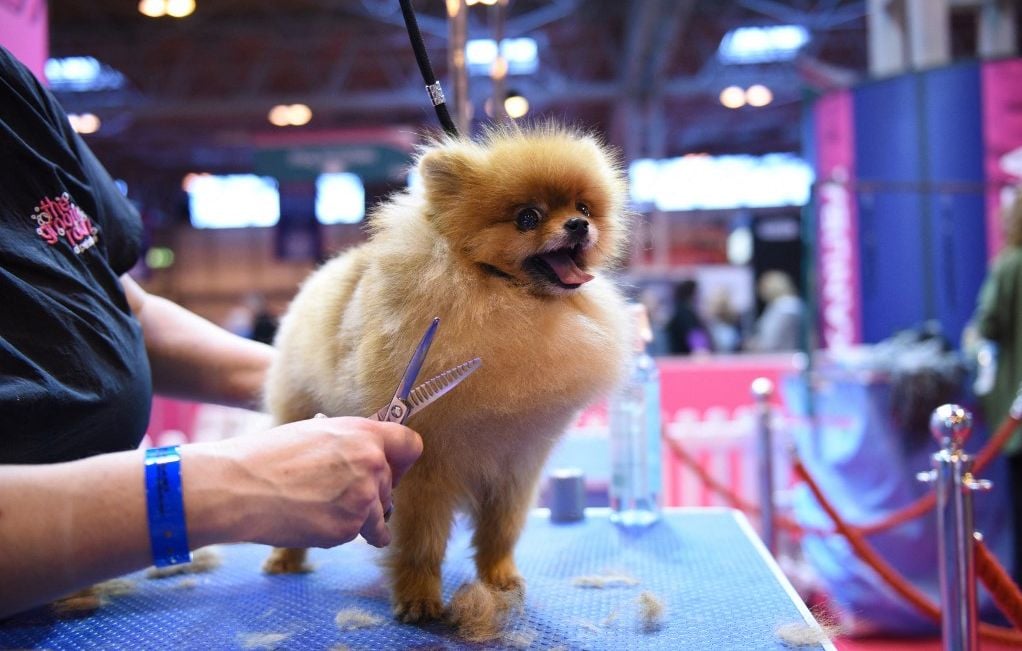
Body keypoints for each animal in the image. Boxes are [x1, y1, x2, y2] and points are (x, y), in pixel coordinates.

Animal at [259, 119, 633, 621]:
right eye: (527, 217)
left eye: (584, 207)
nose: (578, 225)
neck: (501, 292)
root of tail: (320, 278)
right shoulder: (425, 469)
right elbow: (421, 542)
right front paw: (419, 598)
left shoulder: (517, 465)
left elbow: (500, 530)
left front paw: (499, 577)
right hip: (299, 416)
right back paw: (285, 557)